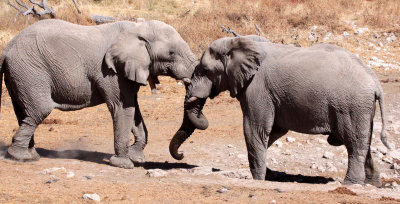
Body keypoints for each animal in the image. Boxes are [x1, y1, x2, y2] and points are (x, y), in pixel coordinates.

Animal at [0, 18, 197, 169]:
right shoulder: (111, 71)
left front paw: (137, 158)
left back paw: (29, 154)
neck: (136, 28)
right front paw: (124, 164)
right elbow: (122, 108)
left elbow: (134, 110)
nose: (182, 154)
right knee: (39, 110)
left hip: (21, 75)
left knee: (24, 112)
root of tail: (7, 47)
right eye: (171, 53)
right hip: (29, 71)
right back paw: (21, 158)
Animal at [170, 35, 390, 186]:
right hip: (361, 107)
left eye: (206, 70)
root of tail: (375, 82)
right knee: (364, 141)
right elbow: (273, 131)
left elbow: (255, 130)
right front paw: (267, 174)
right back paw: (372, 184)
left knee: (354, 142)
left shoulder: (257, 88)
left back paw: (350, 184)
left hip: (351, 105)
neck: (240, 42)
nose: (182, 155)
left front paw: (258, 180)